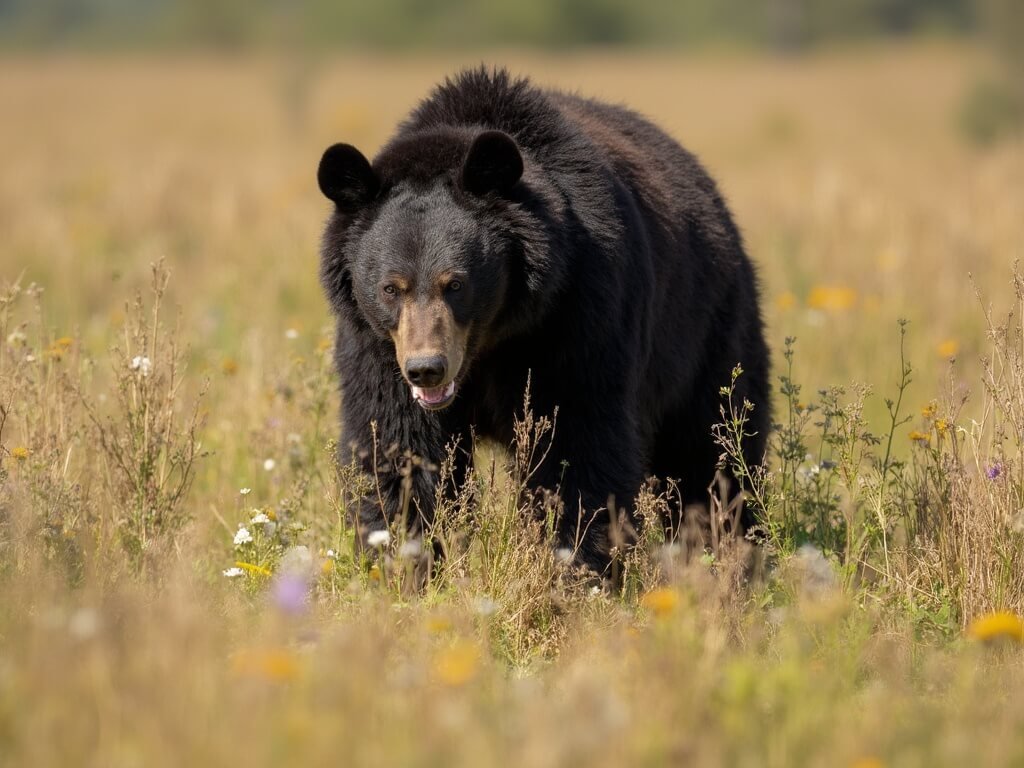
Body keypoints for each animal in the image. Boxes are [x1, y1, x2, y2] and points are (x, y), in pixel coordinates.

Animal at [317, 67, 770, 573]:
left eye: (455, 284)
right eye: (390, 288)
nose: (426, 368)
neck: (492, 339)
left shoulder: (577, 310)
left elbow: (577, 439)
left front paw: (577, 564)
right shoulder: (375, 345)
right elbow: (399, 442)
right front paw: (404, 561)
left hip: (706, 328)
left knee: (713, 445)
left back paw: (725, 550)